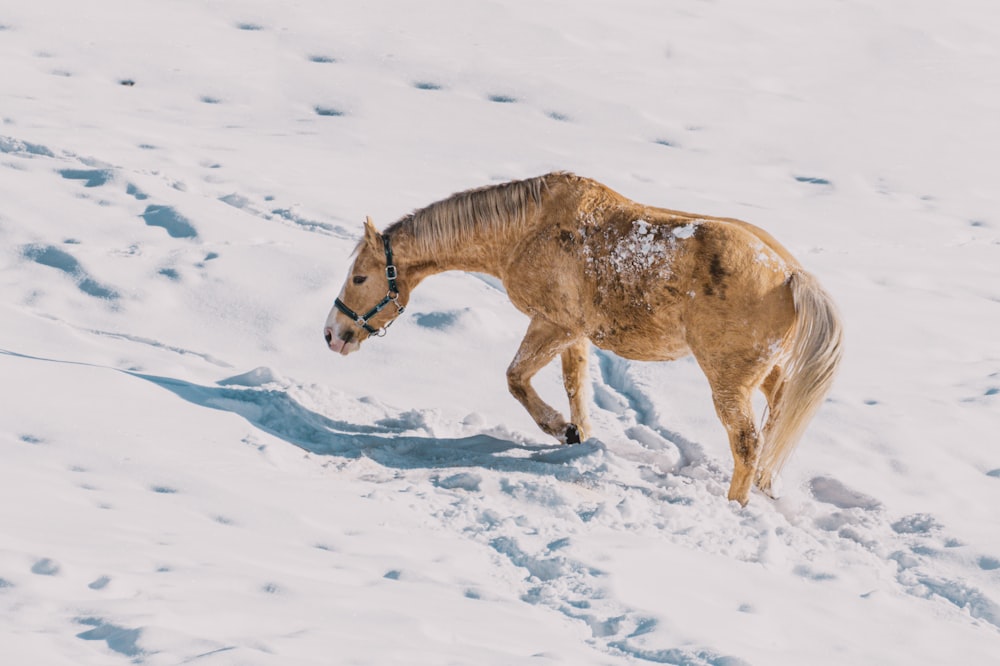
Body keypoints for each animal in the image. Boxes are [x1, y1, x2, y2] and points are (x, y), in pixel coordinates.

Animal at [326, 171, 844, 504]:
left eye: (359, 277)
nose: (333, 334)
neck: (524, 231)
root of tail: (790, 274)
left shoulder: (552, 325)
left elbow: (516, 379)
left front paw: (562, 429)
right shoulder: (573, 333)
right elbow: (575, 383)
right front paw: (581, 436)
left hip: (728, 379)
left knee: (747, 442)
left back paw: (734, 505)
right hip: (766, 371)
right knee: (779, 417)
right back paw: (767, 487)